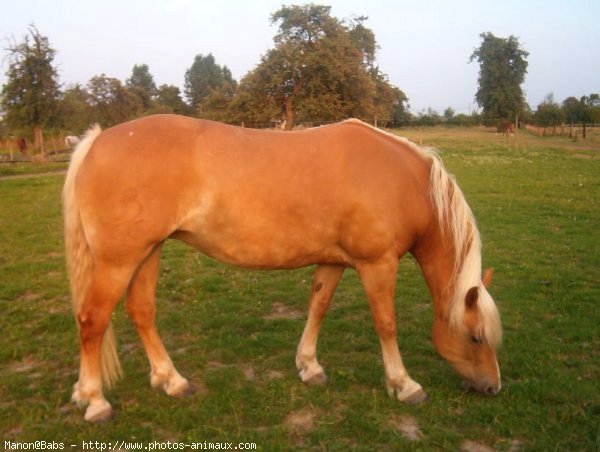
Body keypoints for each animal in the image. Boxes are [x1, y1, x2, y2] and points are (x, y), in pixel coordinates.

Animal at [63, 115, 502, 422]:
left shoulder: (333, 260)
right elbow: (386, 323)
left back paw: (171, 381)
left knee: (141, 312)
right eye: (476, 337)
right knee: (93, 320)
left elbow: (318, 307)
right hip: (119, 261)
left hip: (148, 252)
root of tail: (96, 140)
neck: (402, 181)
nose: (493, 388)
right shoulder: (377, 263)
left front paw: (309, 366)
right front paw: (404, 384)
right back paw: (95, 401)